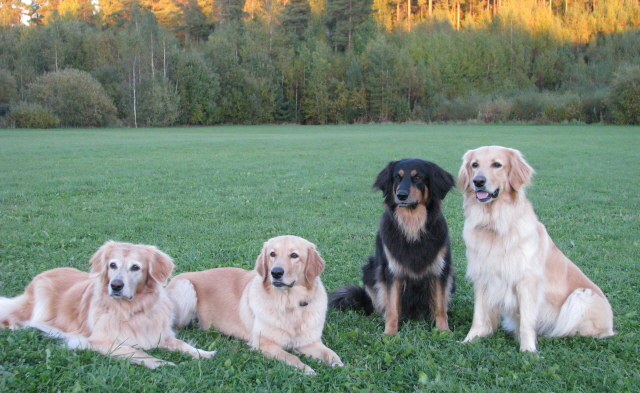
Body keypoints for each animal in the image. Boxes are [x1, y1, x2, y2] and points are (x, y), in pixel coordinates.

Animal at [330, 159, 456, 334]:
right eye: (397, 177)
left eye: (418, 177)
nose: (401, 195)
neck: (412, 226)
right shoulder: (392, 271)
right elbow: (392, 306)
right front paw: (389, 333)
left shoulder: (440, 270)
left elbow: (440, 306)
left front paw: (444, 330)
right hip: (370, 269)